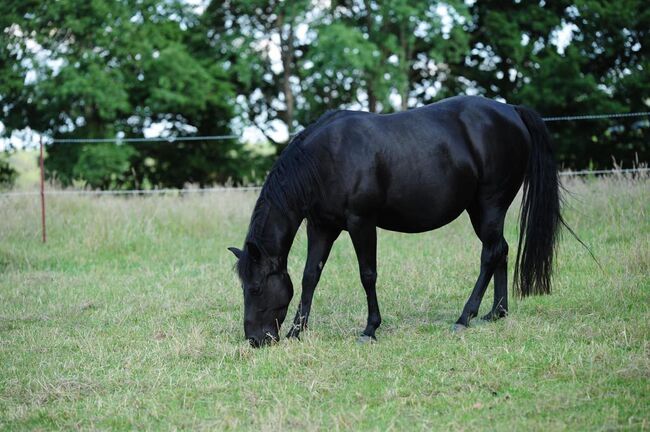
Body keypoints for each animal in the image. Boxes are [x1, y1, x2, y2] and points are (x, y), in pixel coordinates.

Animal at [228, 95, 560, 348]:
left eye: (255, 288)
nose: (255, 340)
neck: (326, 158)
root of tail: (511, 111)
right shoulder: (321, 226)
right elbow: (311, 276)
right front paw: (297, 331)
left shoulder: (361, 223)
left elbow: (367, 275)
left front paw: (370, 329)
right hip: (480, 211)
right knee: (500, 249)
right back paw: (497, 313)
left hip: (490, 205)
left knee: (490, 254)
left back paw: (464, 318)